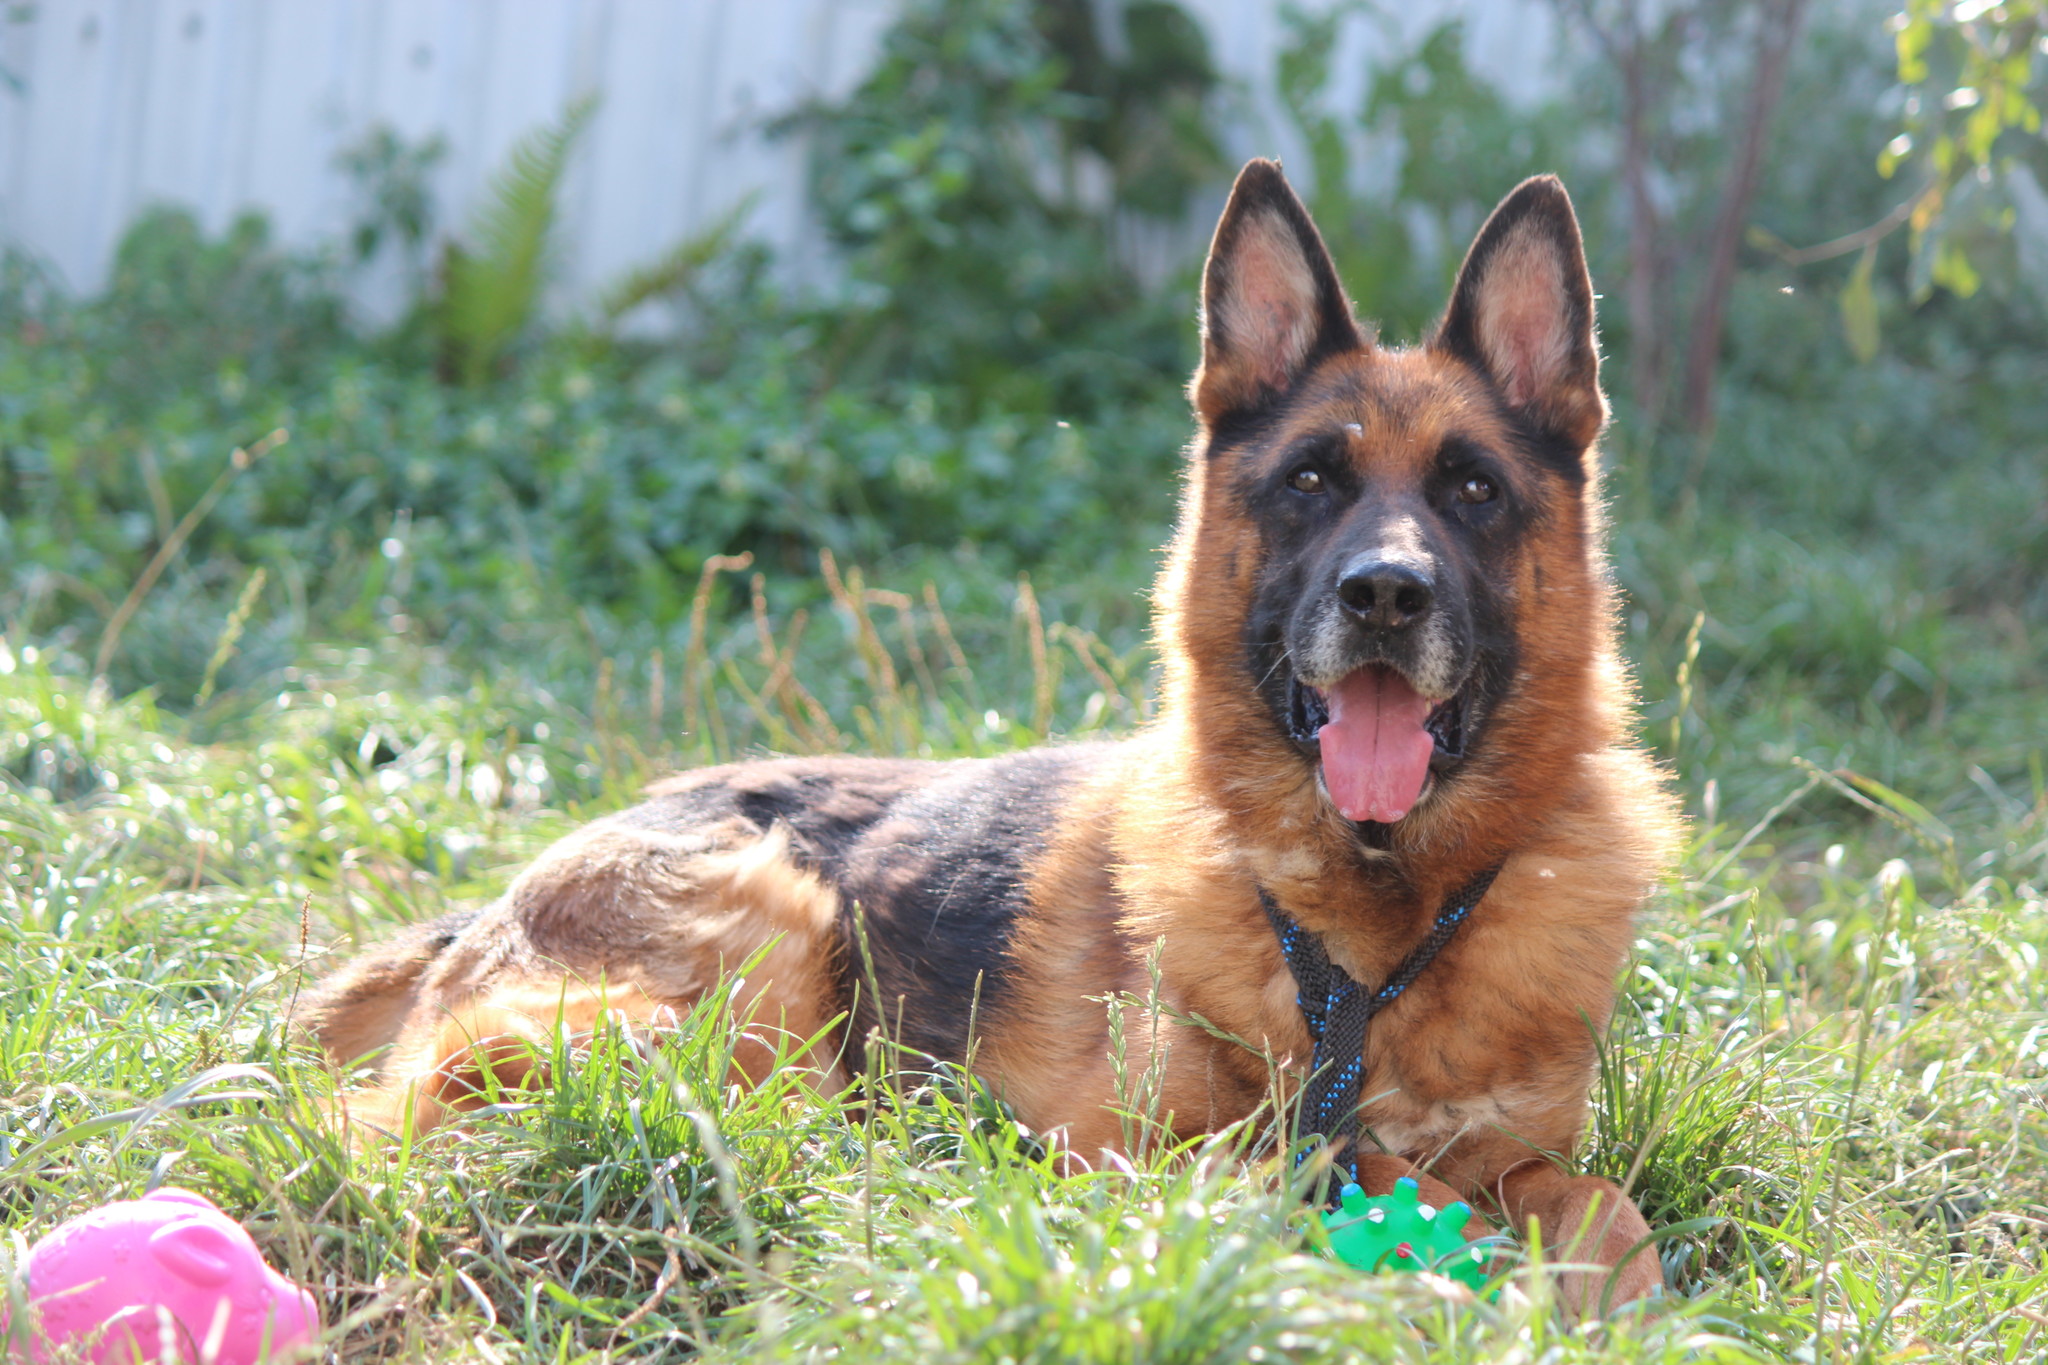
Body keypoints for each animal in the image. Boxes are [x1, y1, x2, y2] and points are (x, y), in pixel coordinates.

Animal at [299, 160, 1679, 1309]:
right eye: (1307, 482)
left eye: (1471, 490)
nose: (1384, 594)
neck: (1376, 926)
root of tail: (487, 909)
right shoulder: (1173, 1150)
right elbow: (1398, 1174)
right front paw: (1474, 1269)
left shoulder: (1511, 1144)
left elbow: (1602, 1206)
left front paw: (1614, 1299)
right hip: (759, 935)